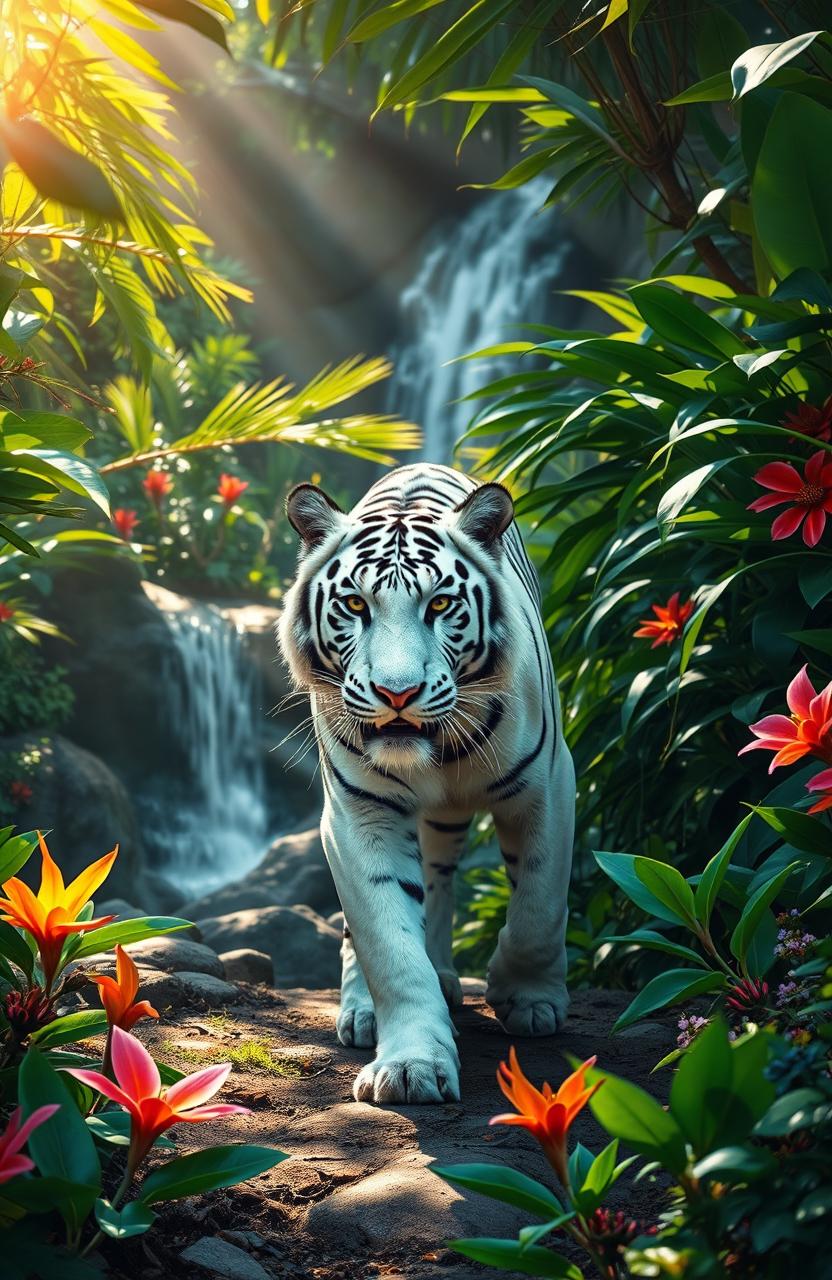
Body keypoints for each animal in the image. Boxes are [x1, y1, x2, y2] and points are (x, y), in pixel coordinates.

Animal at [278, 463, 575, 1104]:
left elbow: (539, 904)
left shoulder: (548, 785)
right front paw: (412, 1065)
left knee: (442, 874)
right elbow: (389, 943)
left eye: (440, 603)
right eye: (354, 604)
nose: (397, 693)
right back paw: (364, 1009)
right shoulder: (357, 811)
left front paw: (529, 998)